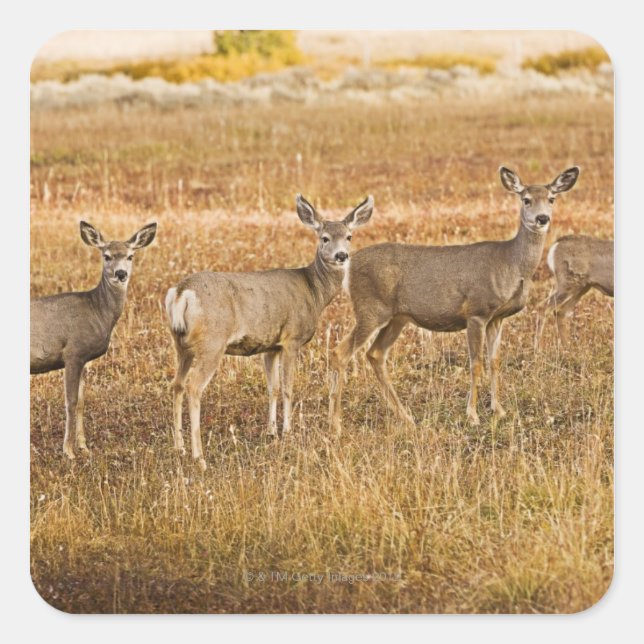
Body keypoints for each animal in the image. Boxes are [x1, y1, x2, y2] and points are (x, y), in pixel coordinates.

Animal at [30, 221, 157, 459]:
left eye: (131, 256)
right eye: (106, 256)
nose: (120, 273)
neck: (96, 310)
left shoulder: (84, 359)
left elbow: (81, 401)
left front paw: (84, 446)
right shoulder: (72, 353)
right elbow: (70, 402)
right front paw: (68, 451)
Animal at [165, 194, 373, 470]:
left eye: (349, 236)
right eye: (324, 237)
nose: (342, 255)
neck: (313, 292)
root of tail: (181, 293)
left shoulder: (270, 345)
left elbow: (272, 388)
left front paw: (272, 431)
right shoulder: (291, 338)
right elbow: (287, 387)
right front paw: (288, 431)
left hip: (181, 344)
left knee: (177, 384)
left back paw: (178, 447)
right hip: (212, 342)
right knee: (193, 387)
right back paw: (199, 456)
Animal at [328, 166, 579, 432]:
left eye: (551, 199)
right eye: (526, 199)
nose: (542, 219)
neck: (511, 264)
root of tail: (349, 266)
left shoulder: (497, 318)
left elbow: (495, 361)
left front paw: (499, 410)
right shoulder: (477, 311)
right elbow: (476, 363)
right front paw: (473, 415)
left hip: (397, 317)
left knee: (375, 354)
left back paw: (406, 417)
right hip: (370, 308)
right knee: (340, 352)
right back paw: (336, 424)